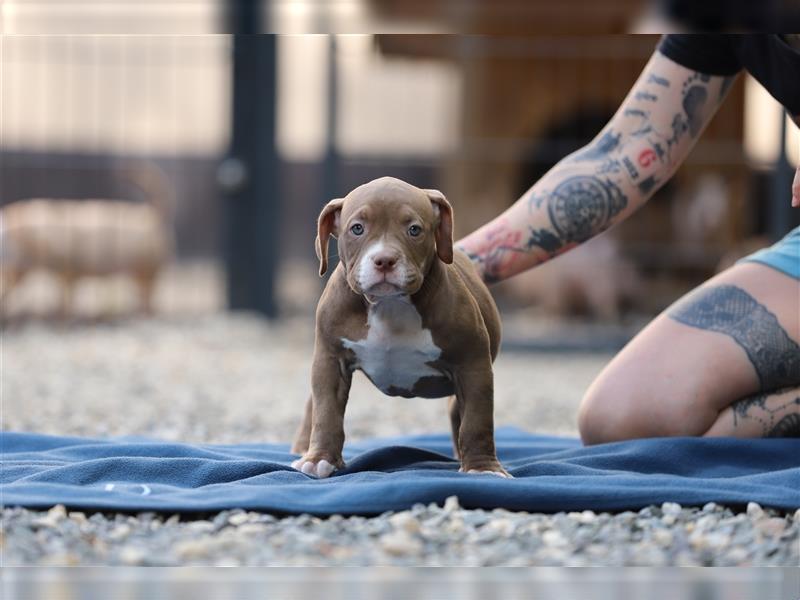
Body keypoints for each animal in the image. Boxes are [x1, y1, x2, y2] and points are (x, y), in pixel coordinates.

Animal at [290, 177, 510, 478]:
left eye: (414, 230)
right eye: (357, 228)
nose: (384, 260)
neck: (389, 304)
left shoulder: (472, 365)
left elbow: (477, 420)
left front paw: (482, 467)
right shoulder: (330, 360)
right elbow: (326, 413)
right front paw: (320, 458)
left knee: (458, 411)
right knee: (313, 403)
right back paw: (304, 448)